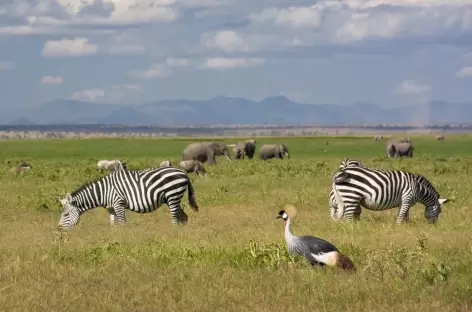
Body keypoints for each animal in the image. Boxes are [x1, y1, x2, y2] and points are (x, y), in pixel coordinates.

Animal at [58, 167, 199, 228]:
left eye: (65, 215)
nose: (59, 229)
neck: (104, 192)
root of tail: (183, 173)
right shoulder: (110, 208)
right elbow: (113, 224)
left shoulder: (118, 204)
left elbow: (122, 223)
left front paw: (124, 241)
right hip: (173, 199)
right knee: (184, 217)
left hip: (172, 196)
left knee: (175, 218)